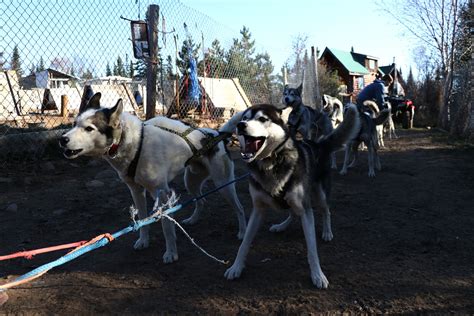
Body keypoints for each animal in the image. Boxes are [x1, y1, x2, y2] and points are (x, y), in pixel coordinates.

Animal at [58, 92, 248, 262]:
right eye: (74, 124)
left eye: (89, 128)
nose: (62, 139)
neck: (135, 144)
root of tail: (217, 134)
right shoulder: (136, 191)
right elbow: (142, 219)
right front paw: (143, 241)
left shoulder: (161, 193)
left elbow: (167, 227)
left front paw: (171, 253)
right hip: (191, 182)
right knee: (201, 201)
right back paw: (193, 220)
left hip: (224, 185)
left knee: (240, 208)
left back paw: (242, 232)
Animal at [220, 103, 362, 286]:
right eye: (244, 118)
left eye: (262, 119)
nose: (240, 125)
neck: (272, 163)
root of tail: (318, 145)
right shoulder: (258, 209)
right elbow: (244, 244)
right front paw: (236, 267)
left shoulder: (306, 209)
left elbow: (312, 249)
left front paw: (318, 275)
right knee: (293, 213)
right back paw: (281, 226)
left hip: (320, 195)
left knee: (326, 211)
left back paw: (327, 232)